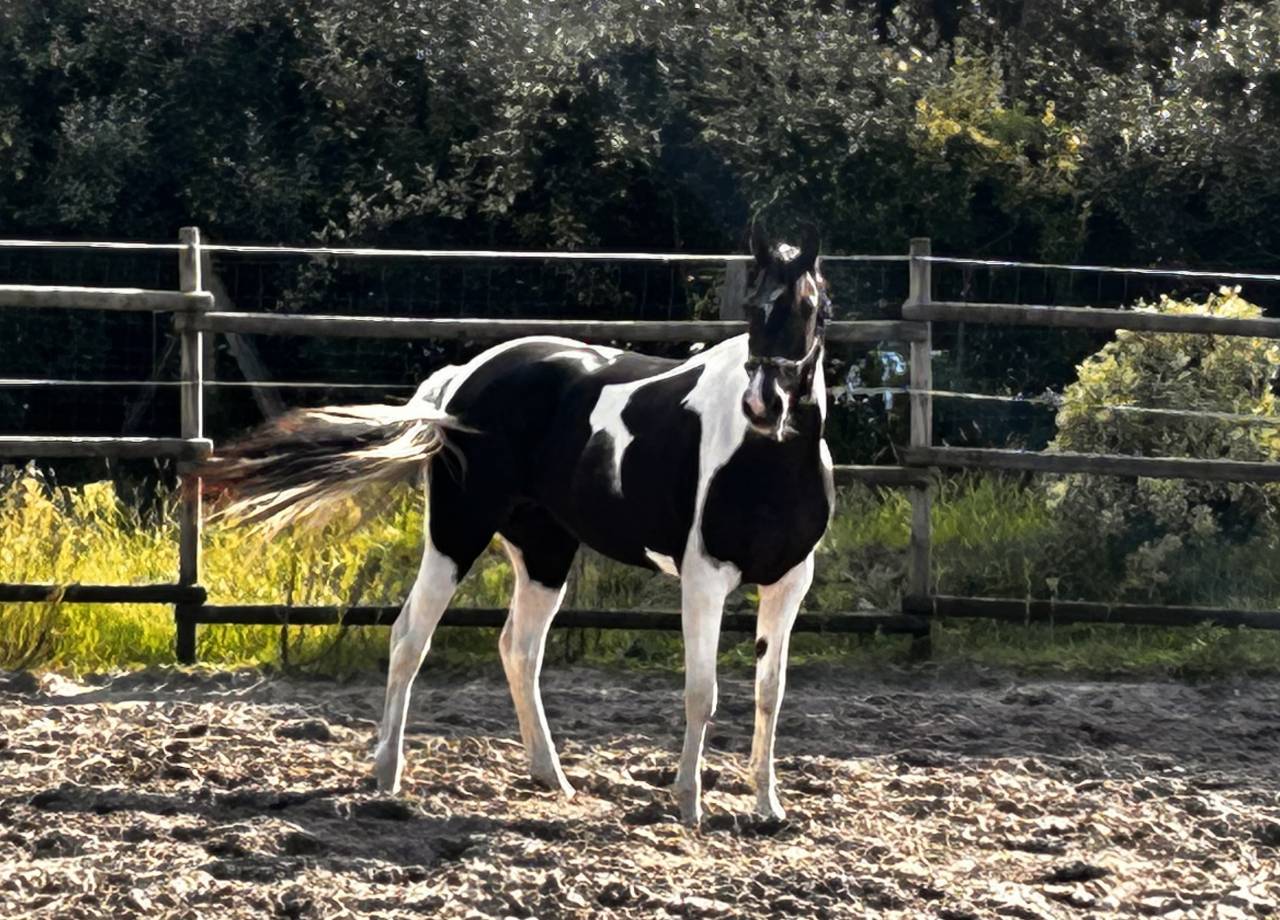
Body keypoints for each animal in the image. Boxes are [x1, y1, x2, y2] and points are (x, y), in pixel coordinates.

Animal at [198, 225, 834, 826]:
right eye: (752, 307)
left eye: (810, 308)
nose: (763, 406)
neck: (765, 460)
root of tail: (461, 379)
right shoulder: (704, 580)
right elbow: (702, 693)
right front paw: (688, 805)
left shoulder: (788, 583)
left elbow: (770, 693)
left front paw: (769, 808)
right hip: (457, 533)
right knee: (411, 637)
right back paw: (387, 774)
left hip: (544, 550)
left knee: (519, 649)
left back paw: (551, 776)